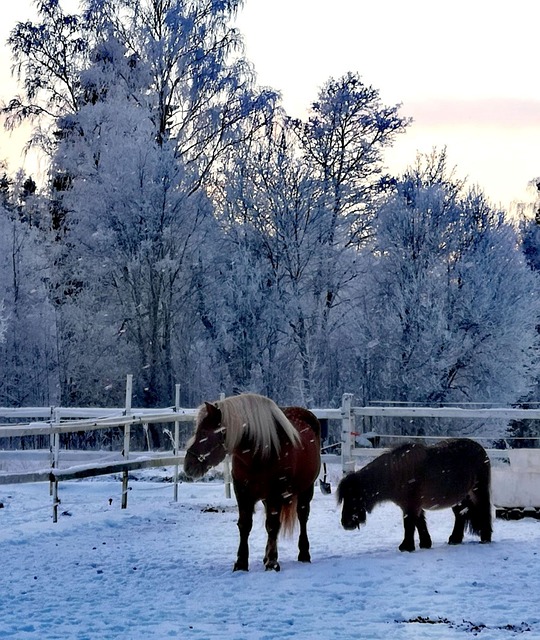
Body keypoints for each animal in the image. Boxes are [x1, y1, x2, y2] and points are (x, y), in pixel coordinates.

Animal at [184, 393, 321, 571]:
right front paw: (241, 562)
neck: (260, 452)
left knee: (302, 517)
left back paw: (304, 554)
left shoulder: (276, 493)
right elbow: (245, 525)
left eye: (204, 431)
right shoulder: (242, 492)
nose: (188, 465)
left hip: (306, 489)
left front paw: (272, 562)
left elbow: (272, 525)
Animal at [337, 438, 492, 552]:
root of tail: (481, 449)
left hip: (478, 491)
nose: (346, 523)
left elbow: (409, 525)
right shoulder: (413, 505)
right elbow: (419, 523)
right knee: (460, 515)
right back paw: (455, 539)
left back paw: (485, 537)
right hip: (460, 498)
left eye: (353, 497)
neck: (396, 474)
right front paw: (425, 543)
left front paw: (406, 547)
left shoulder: (410, 505)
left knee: (484, 511)